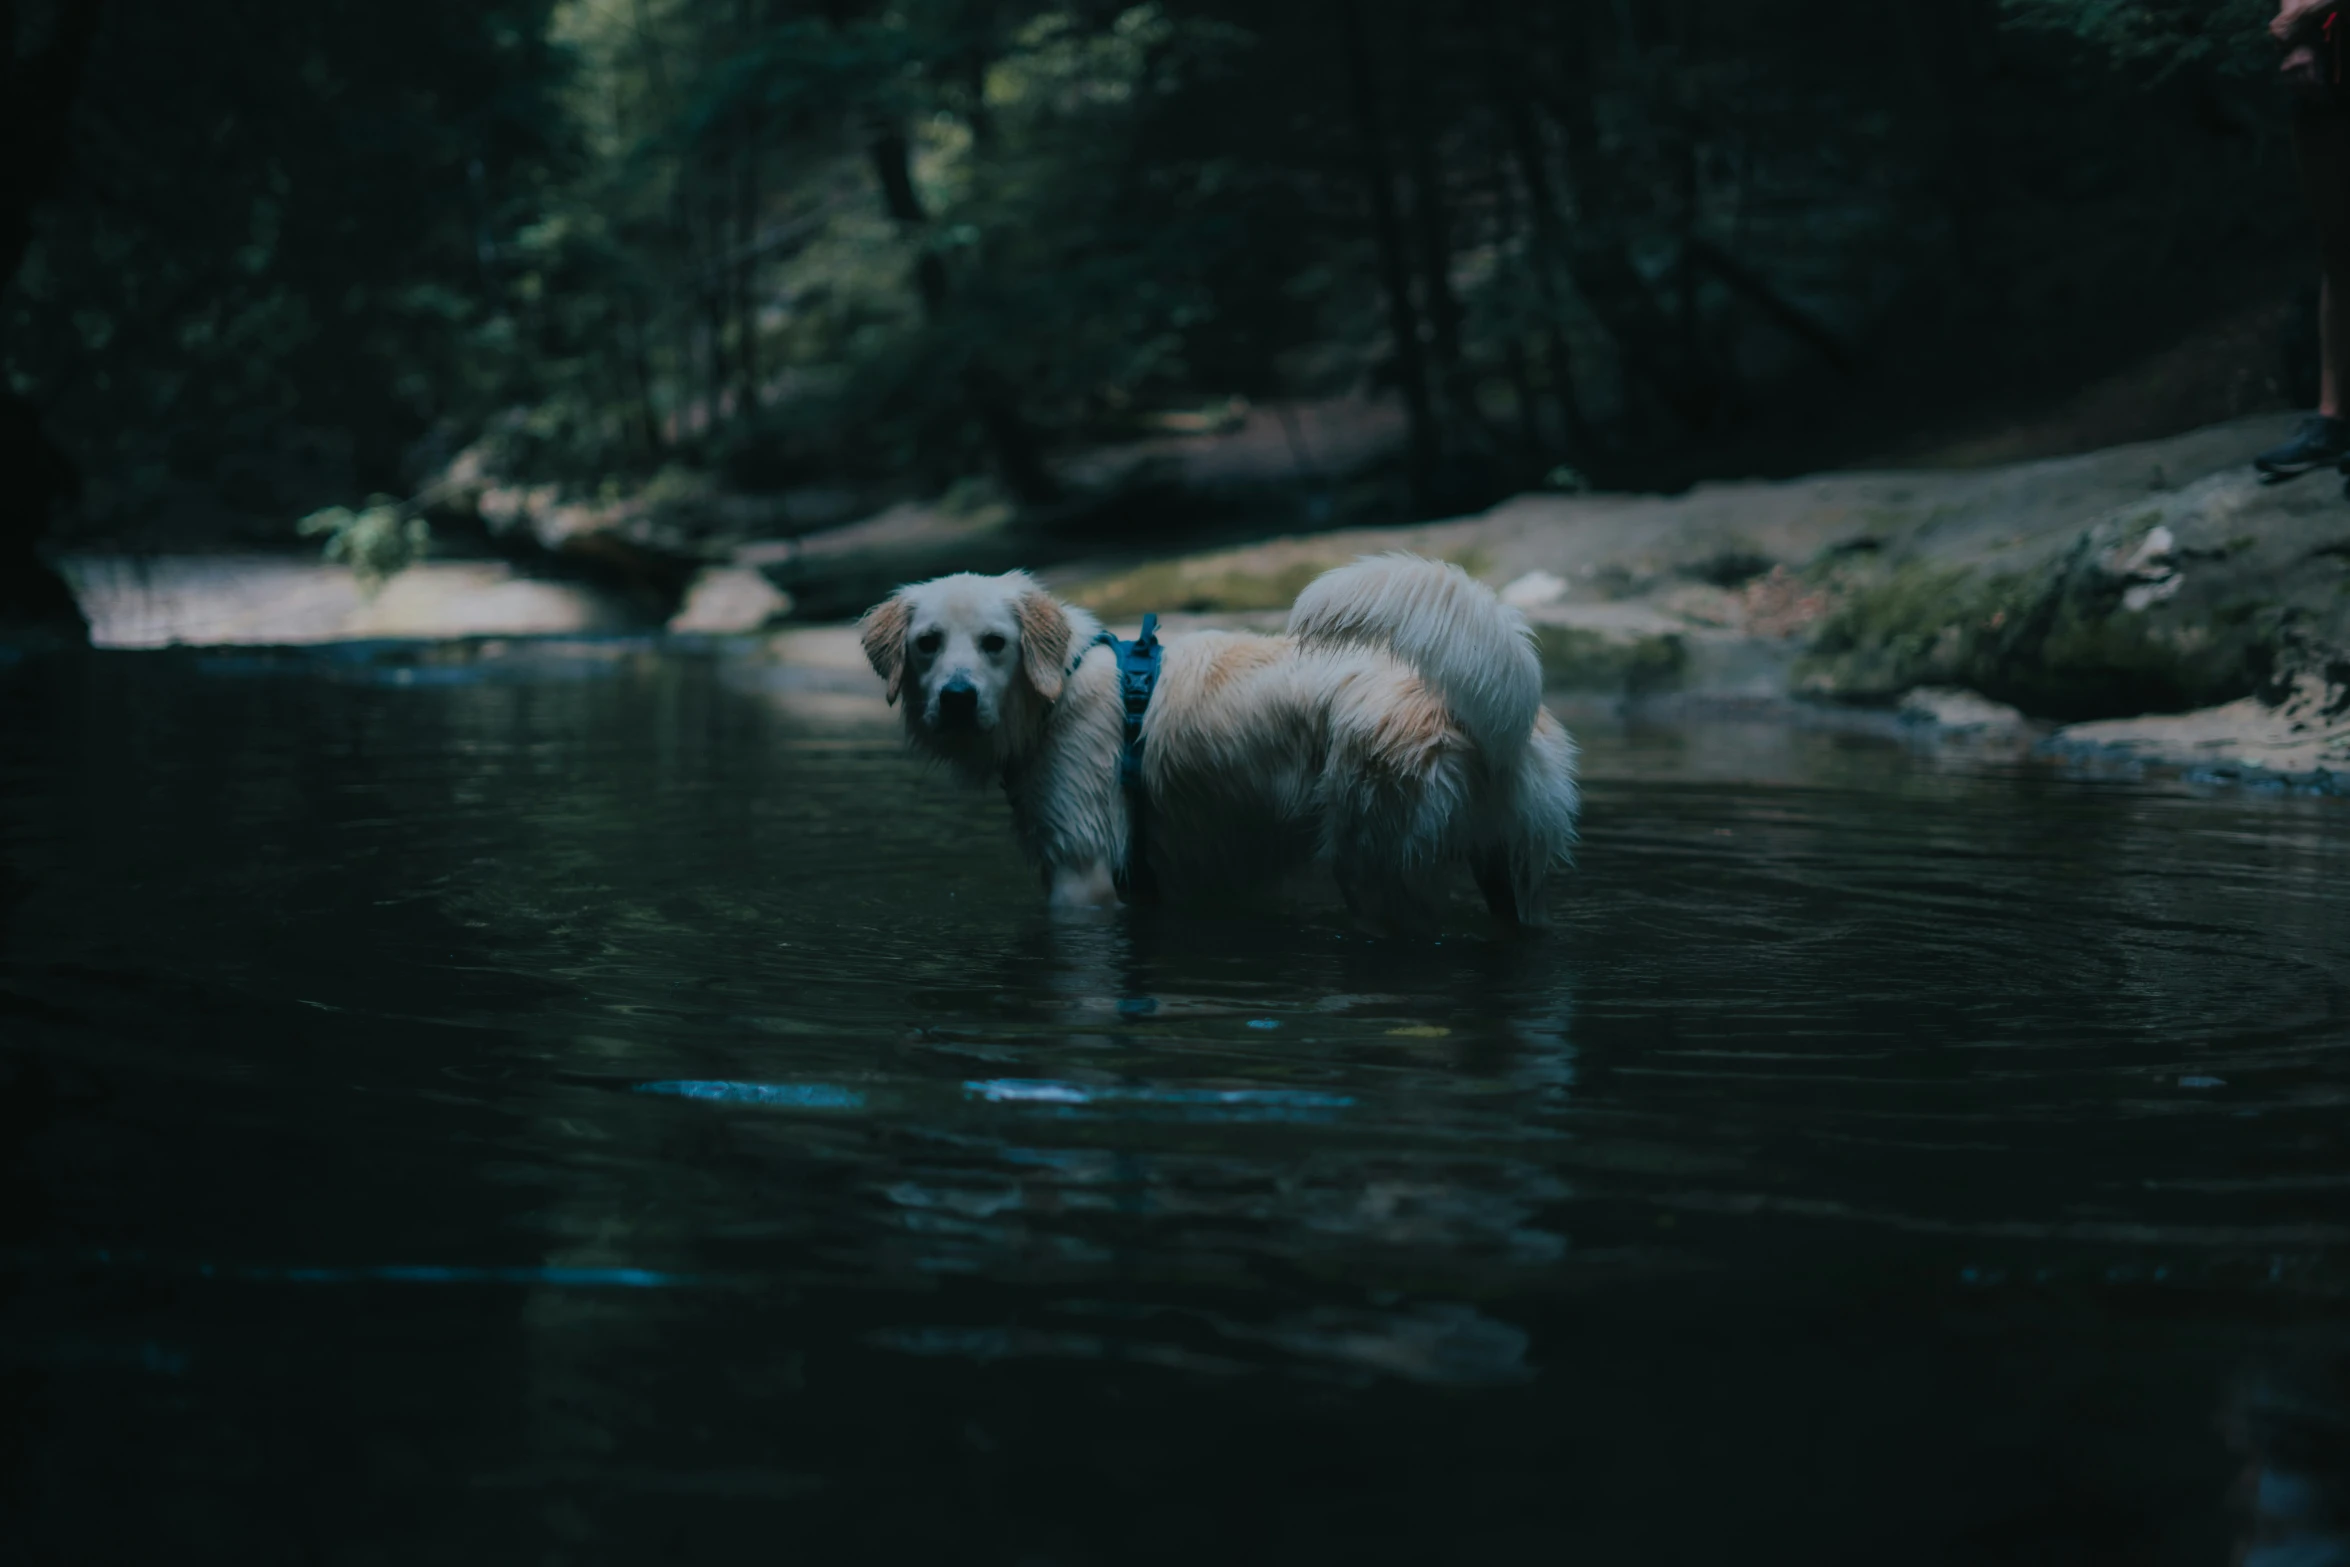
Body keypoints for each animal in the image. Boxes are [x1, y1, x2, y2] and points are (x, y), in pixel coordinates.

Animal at [860, 554, 1579, 930]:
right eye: (927, 643)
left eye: (994, 643)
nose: (956, 698)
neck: (1056, 687)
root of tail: (1509, 724)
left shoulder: (1081, 870)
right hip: (1514, 881)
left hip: (1375, 863)